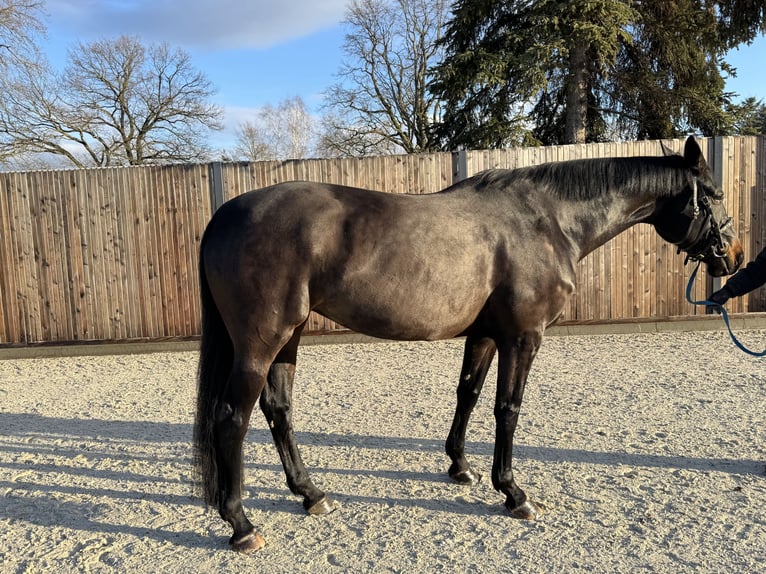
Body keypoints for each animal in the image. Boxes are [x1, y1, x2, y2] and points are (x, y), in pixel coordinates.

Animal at [195, 137, 748, 556]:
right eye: (715, 193)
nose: (735, 256)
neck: (548, 221)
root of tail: (224, 215)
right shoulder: (524, 336)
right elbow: (508, 407)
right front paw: (514, 492)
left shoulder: (485, 334)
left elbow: (469, 394)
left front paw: (460, 467)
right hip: (261, 341)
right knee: (232, 418)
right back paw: (241, 524)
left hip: (289, 337)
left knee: (278, 409)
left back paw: (311, 493)